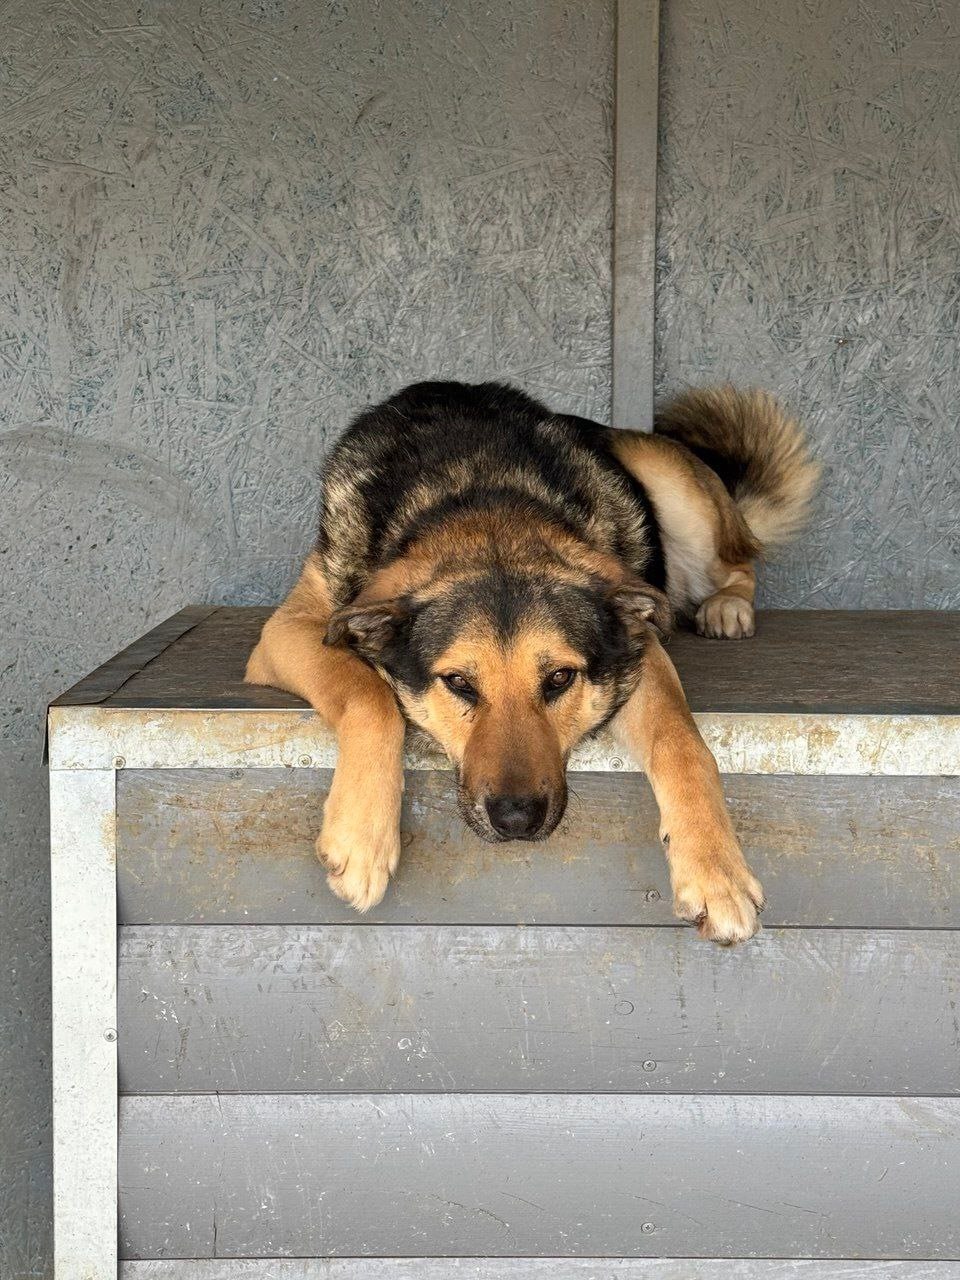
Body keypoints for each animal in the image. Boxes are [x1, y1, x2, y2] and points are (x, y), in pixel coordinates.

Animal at [246, 381, 818, 944]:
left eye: (560, 678)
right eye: (458, 682)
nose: (517, 820)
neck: (482, 498)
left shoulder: (640, 649)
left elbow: (682, 739)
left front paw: (716, 871)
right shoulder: (288, 630)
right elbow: (368, 693)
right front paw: (362, 836)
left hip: (667, 478)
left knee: (740, 561)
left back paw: (727, 606)